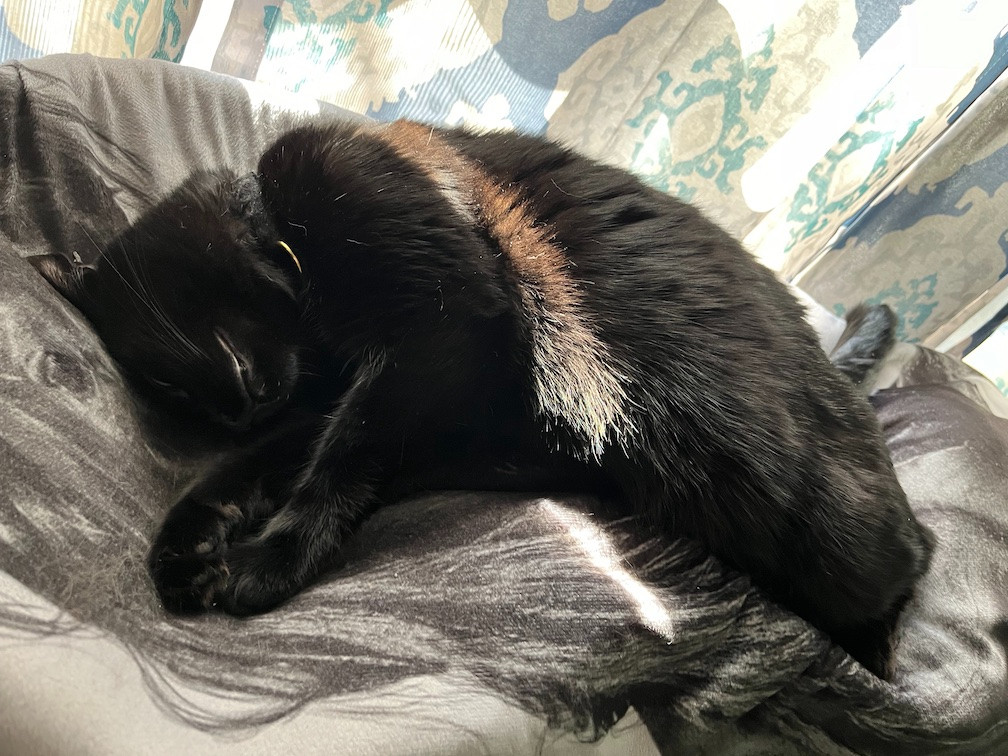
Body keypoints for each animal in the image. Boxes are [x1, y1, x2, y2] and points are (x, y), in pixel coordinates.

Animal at [29, 119, 927, 681]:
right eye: (170, 390)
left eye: (210, 352)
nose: (243, 404)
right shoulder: (376, 402)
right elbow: (258, 469)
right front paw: (187, 549)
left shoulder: (443, 327)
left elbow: (338, 460)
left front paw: (267, 562)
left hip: (804, 511)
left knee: (919, 551)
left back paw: (880, 652)